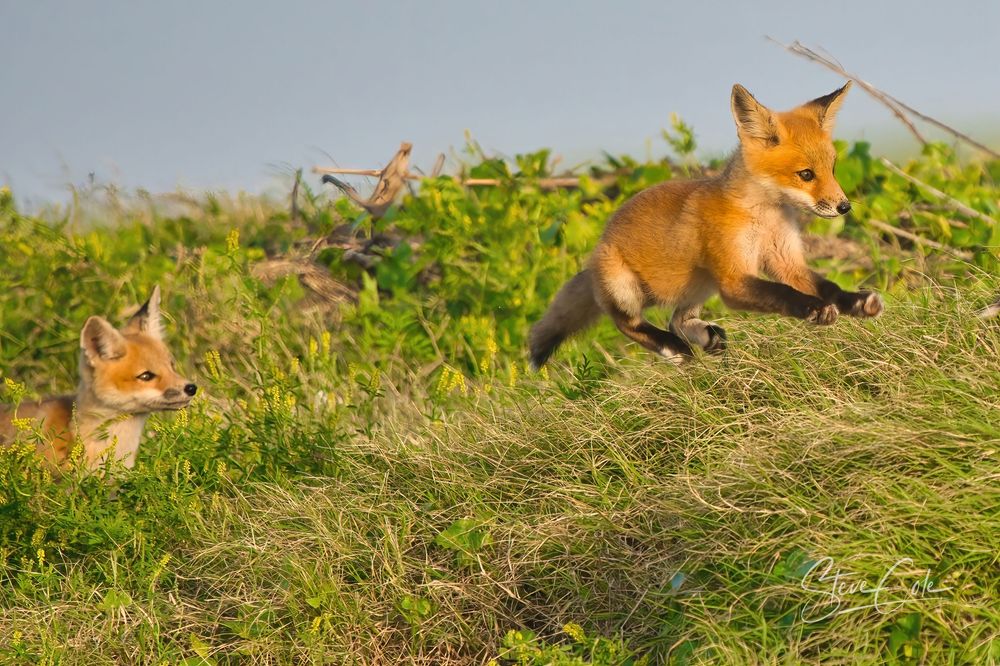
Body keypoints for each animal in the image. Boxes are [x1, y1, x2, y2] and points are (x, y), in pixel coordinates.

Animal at [529, 81, 884, 368]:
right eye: (806, 174)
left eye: (833, 169)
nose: (844, 206)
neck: (764, 220)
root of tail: (595, 252)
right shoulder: (733, 280)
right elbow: (781, 292)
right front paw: (814, 308)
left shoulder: (787, 261)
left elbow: (827, 286)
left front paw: (855, 302)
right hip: (627, 288)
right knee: (628, 324)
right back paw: (673, 348)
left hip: (699, 285)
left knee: (676, 320)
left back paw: (704, 337)